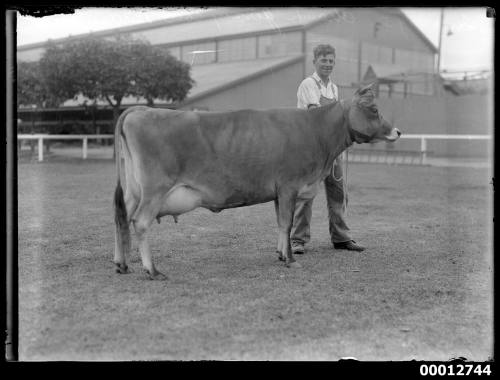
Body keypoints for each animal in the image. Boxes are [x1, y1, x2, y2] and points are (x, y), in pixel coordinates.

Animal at [114, 84, 402, 280]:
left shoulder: (278, 191)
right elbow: (287, 223)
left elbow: (280, 224)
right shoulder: (289, 186)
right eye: (374, 109)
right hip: (154, 189)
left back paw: (122, 264)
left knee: (120, 217)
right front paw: (290, 260)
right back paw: (152, 270)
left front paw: (280, 254)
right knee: (139, 222)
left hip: (134, 191)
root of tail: (140, 110)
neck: (317, 134)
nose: (397, 131)